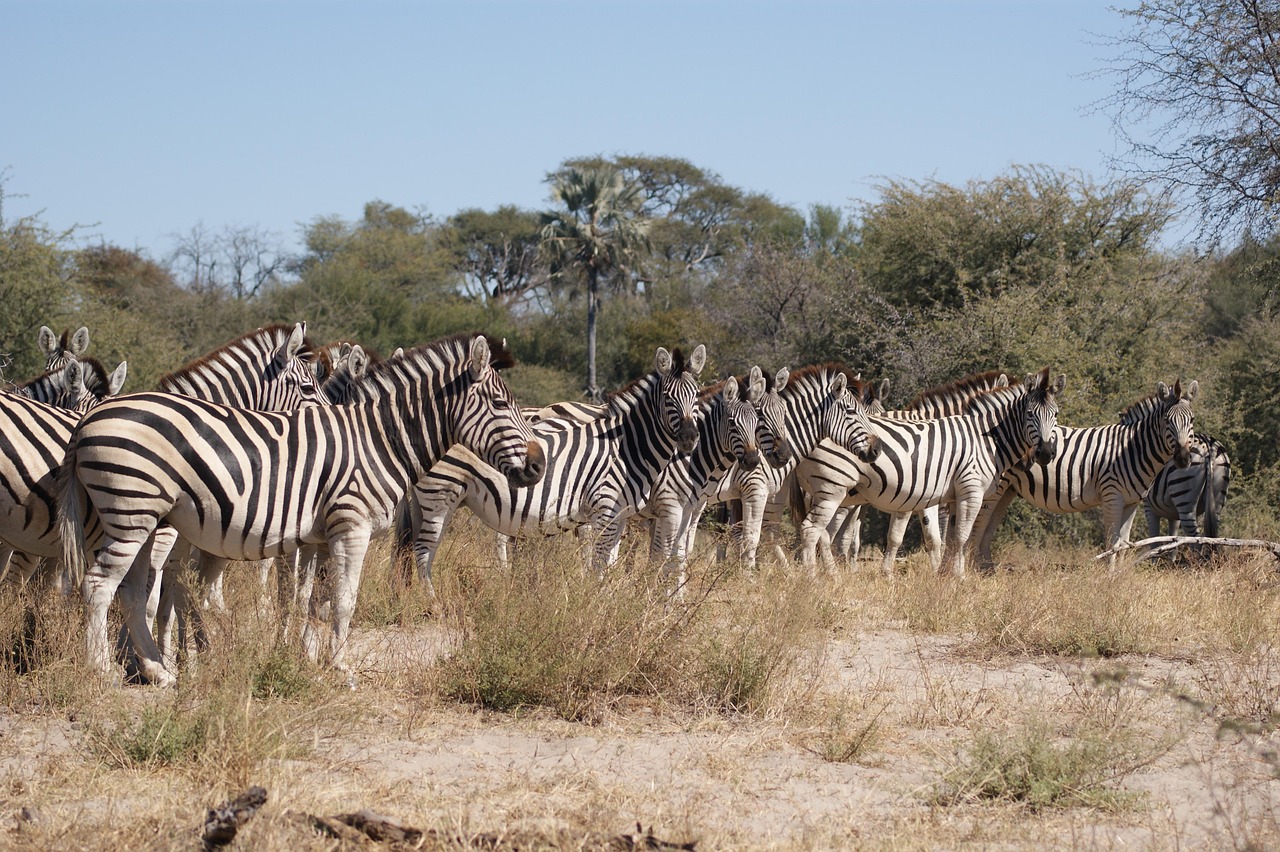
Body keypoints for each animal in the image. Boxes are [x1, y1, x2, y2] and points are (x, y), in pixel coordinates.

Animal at [61, 332, 540, 685]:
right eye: (501, 404)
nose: (538, 465)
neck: (376, 440)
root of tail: (88, 419)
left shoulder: (319, 537)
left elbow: (313, 602)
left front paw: (307, 660)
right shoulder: (351, 526)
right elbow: (345, 601)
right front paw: (341, 667)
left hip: (147, 519)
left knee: (132, 590)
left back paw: (158, 671)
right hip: (131, 515)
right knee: (100, 585)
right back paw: (101, 671)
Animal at [407, 345, 711, 583]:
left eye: (696, 396)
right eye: (668, 398)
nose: (689, 438)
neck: (627, 449)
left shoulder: (621, 516)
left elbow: (610, 565)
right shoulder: (604, 510)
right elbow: (599, 567)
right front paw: (595, 606)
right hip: (440, 496)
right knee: (423, 551)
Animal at [793, 368, 1064, 573]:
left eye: (1056, 414)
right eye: (1030, 414)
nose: (1044, 454)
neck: (983, 436)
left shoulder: (949, 495)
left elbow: (948, 538)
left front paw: (944, 576)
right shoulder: (966, 491)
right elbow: (954, 537)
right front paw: (957, 577)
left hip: (838, 492)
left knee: (827, 533)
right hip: (834, 488)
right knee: (817, 531)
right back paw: (817, 576)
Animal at [967, 376, 1198, 562]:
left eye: (1192, 420)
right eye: (1167, 420)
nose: (1183, 458)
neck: (1132, 449)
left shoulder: (1132, 502)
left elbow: (1124, 545)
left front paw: (1120, 577)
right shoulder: (1112, 496)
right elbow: (1112, 544)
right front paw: (1109, 579)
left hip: (1007, 489)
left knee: (985, 532)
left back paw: (985, 571)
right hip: (995, 487)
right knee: (976, 529)